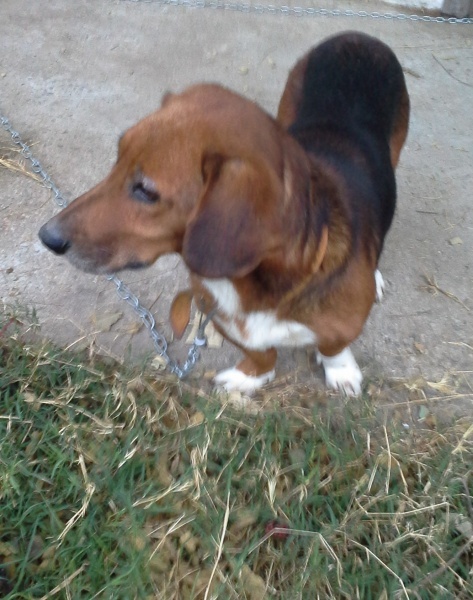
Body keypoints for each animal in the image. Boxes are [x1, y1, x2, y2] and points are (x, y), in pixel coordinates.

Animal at [39, 31, 409, 396]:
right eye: (117, 160)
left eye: (145, 190)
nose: (46, 237)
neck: (256, 284)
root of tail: (358, 37)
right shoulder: (223, 319)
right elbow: (262, 354)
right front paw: (250, 377)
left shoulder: (342, 327)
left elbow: (333, 347)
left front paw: (341, 372)